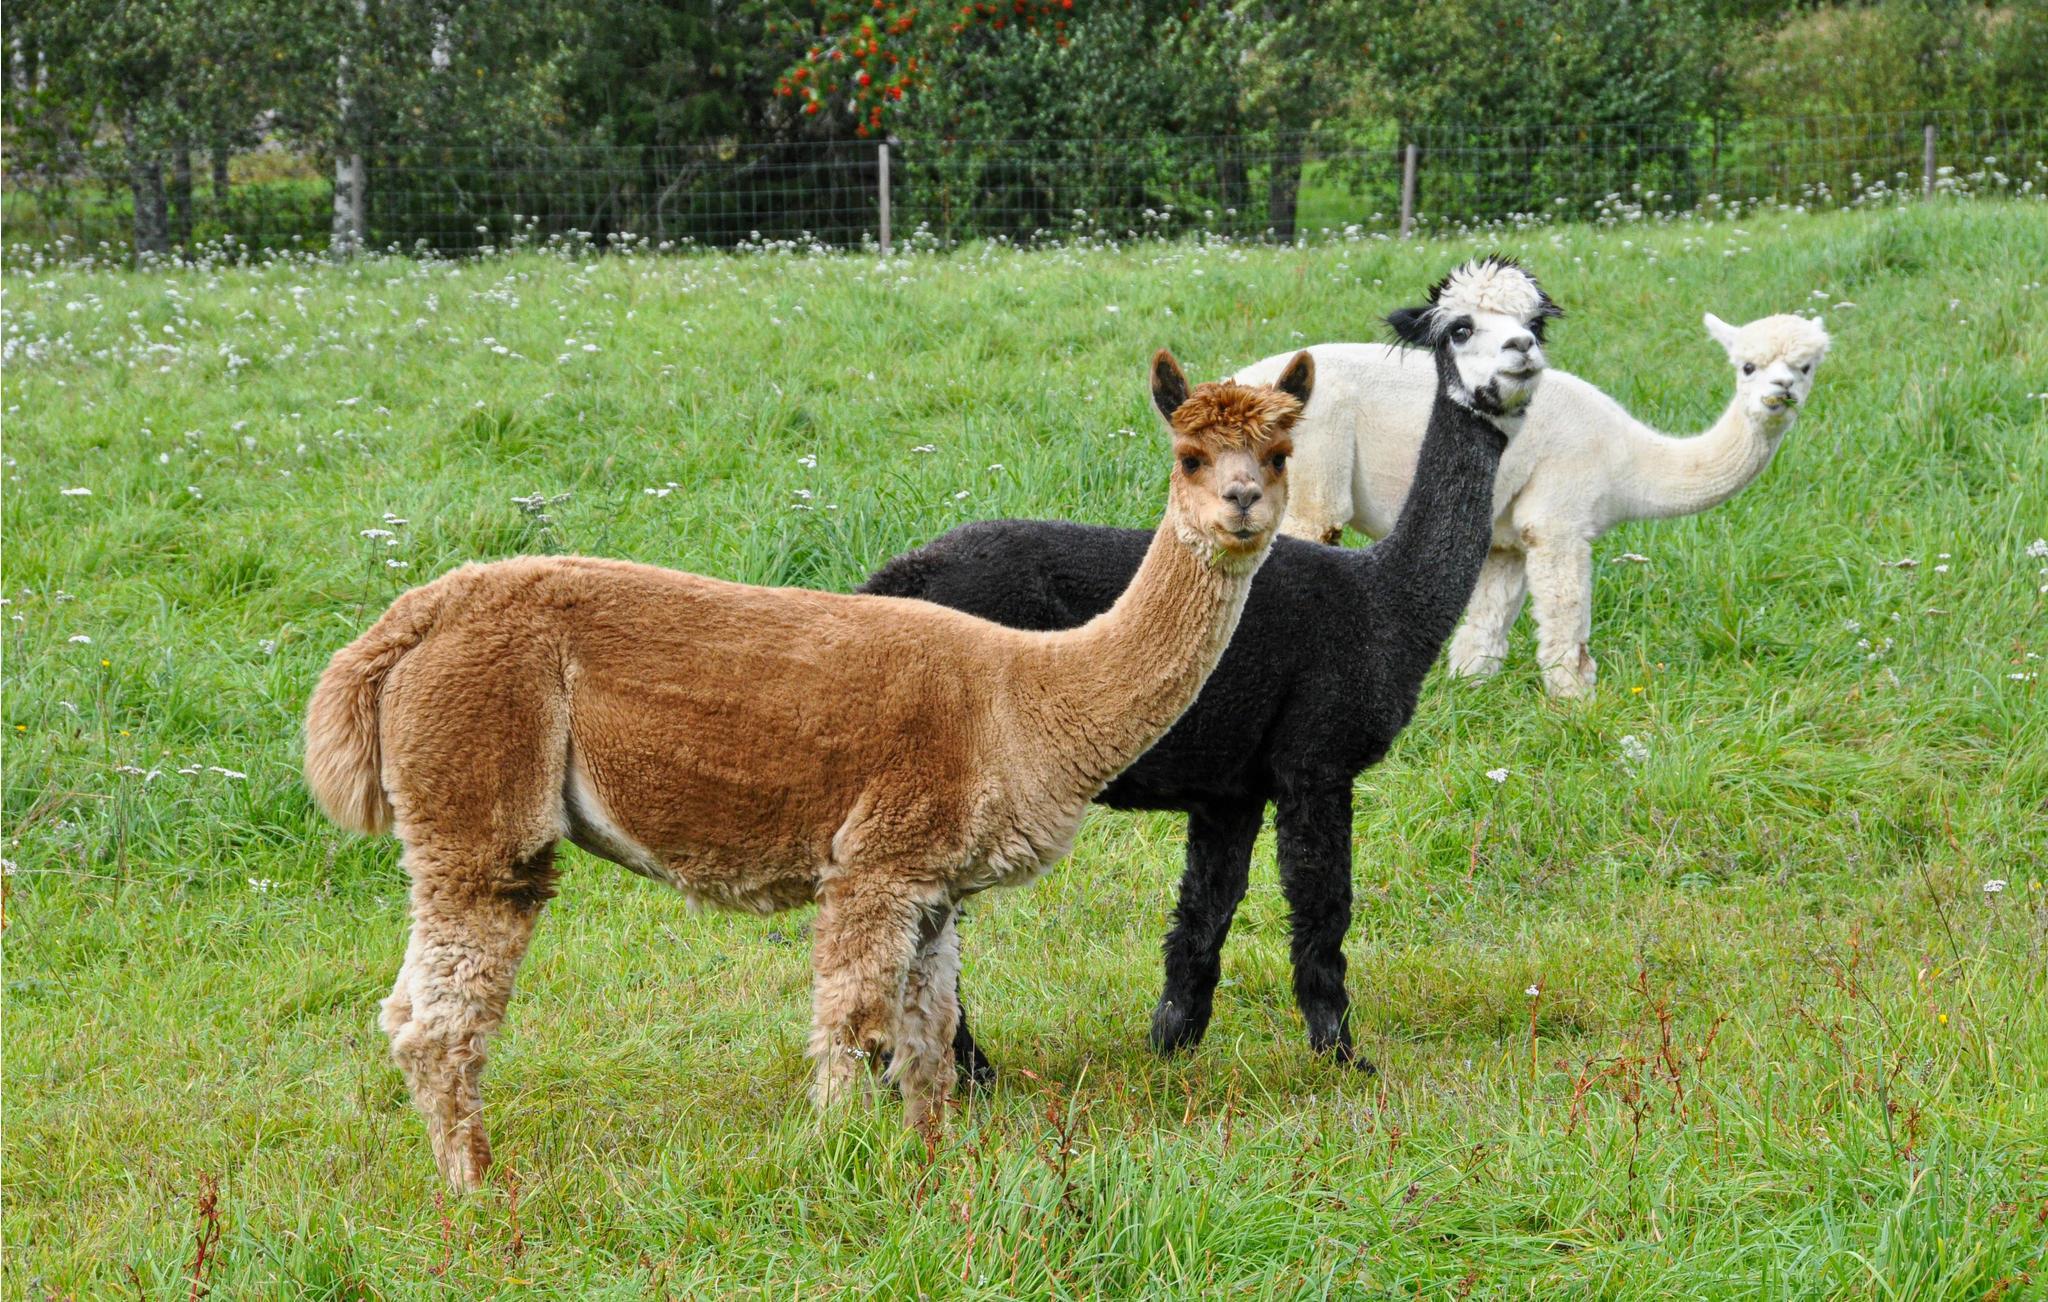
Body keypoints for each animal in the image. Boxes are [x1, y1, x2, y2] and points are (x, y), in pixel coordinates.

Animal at [303, 348, 1312, 1191]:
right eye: (1190, 456)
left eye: (1279, 454)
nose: (1240, 505)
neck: (1025, 694)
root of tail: (417, 613)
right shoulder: (876, 862)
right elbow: (853, 1027)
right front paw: (837, 1164)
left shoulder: (934, 884)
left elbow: (927, 1036)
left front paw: (933, 1160)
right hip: (481, 786)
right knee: (440, 1021)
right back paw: (479, 1191)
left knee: (405, 1008)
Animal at [863, 258, 1553, 1075]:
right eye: (1460, 329)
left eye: (1536, 322)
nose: (1520, 354)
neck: (1383, 601)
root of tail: (896, 579)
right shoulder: (1315, 760)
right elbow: (1323, 910)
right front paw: (1342, 1058)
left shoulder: (1231, 785)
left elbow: (1204, 913)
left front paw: (1170, 1048)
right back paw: (965, 1071)